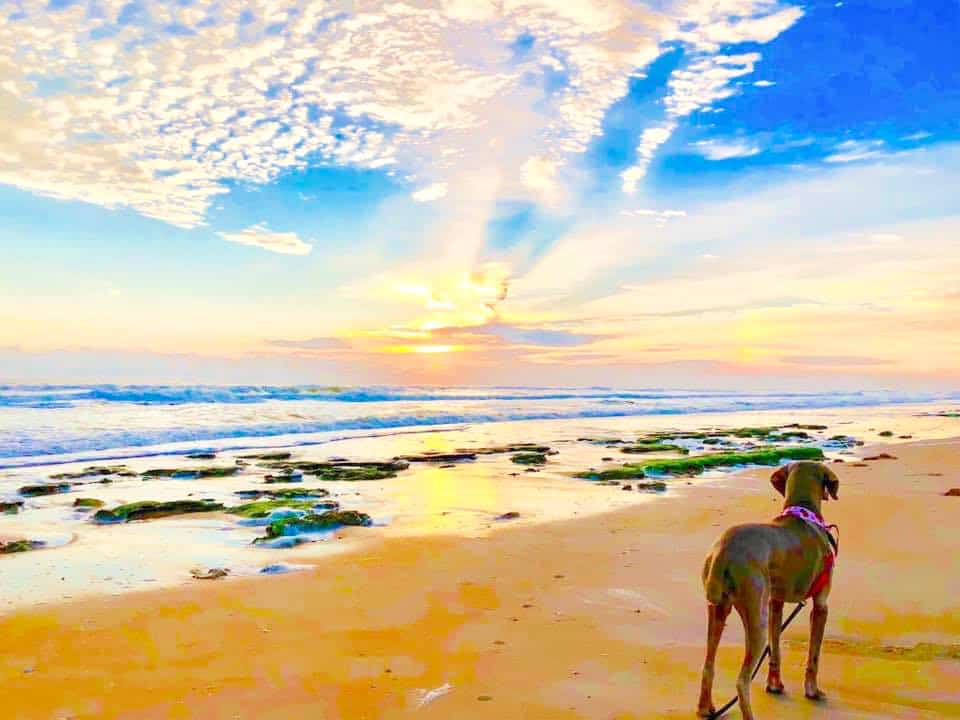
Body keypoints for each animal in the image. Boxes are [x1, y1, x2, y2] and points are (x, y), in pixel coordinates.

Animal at [692, 462, 836, 720]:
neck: (802, 512)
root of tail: (722, 551)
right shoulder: (821, 606)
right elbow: (814, 655)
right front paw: (812, 691)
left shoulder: (774, 603)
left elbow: (776, 649)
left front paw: (774, 685)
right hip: (755, 618)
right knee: (742, 681)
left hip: (719, 610)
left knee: (708, 665)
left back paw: (705, 708)